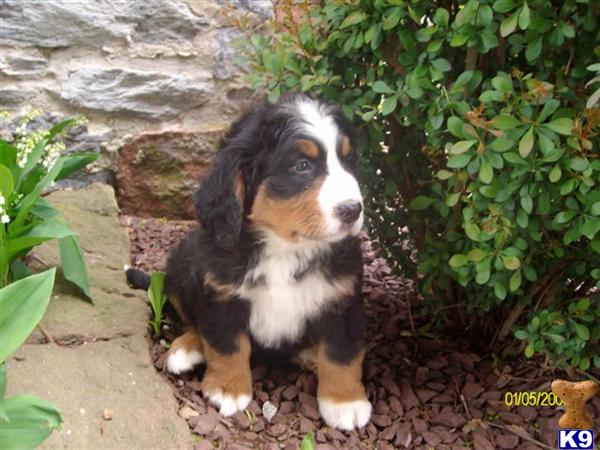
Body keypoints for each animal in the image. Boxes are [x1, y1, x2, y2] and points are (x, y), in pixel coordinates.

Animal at [126, 90, 370, 428]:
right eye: (302, 166)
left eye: (348, 160)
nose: (352, 210)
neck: (284, 248)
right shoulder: (222, 295)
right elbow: (228, 344)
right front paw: (227, 389)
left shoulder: (343, 298)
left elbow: (341, 352)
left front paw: (345, 402)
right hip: (181, 267)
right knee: (192, 320)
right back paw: (187, 348)